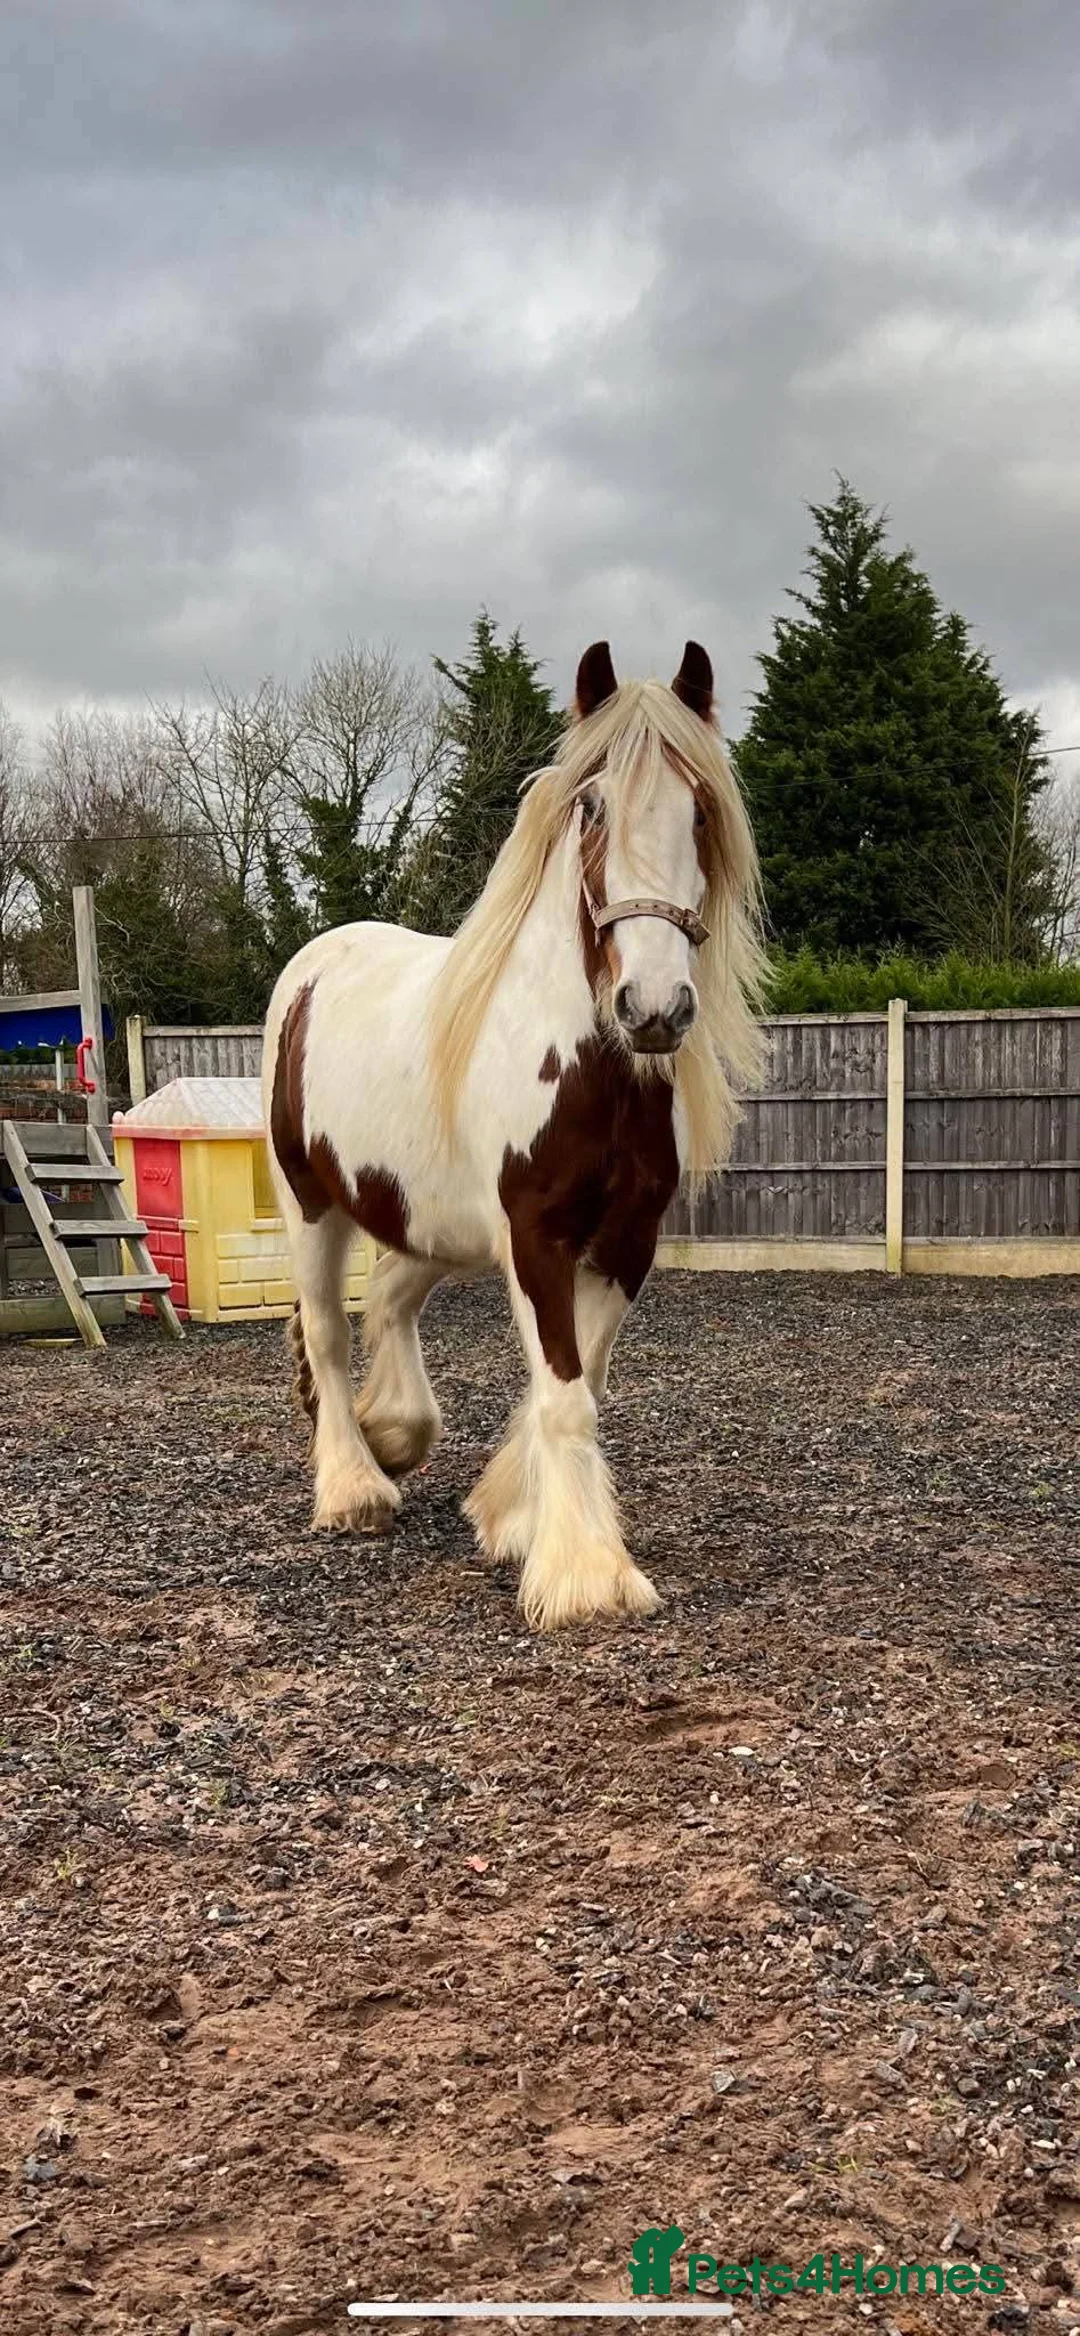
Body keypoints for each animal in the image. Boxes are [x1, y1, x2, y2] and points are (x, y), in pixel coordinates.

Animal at [261, 640, 764, 1631]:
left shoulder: (624, 1242)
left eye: (699, 809)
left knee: (389, 1300)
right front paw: (587, 1574)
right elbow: (565, 1398)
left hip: (429, 1220)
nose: (654, 1009)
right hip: (312, 1205)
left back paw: (394, 1433)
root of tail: (313, 966)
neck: (587, 1068)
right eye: (592, 808)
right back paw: (353, 1487)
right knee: (328, 1332)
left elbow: (576, 1383)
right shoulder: (534, 1237)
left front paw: (515, 1518)